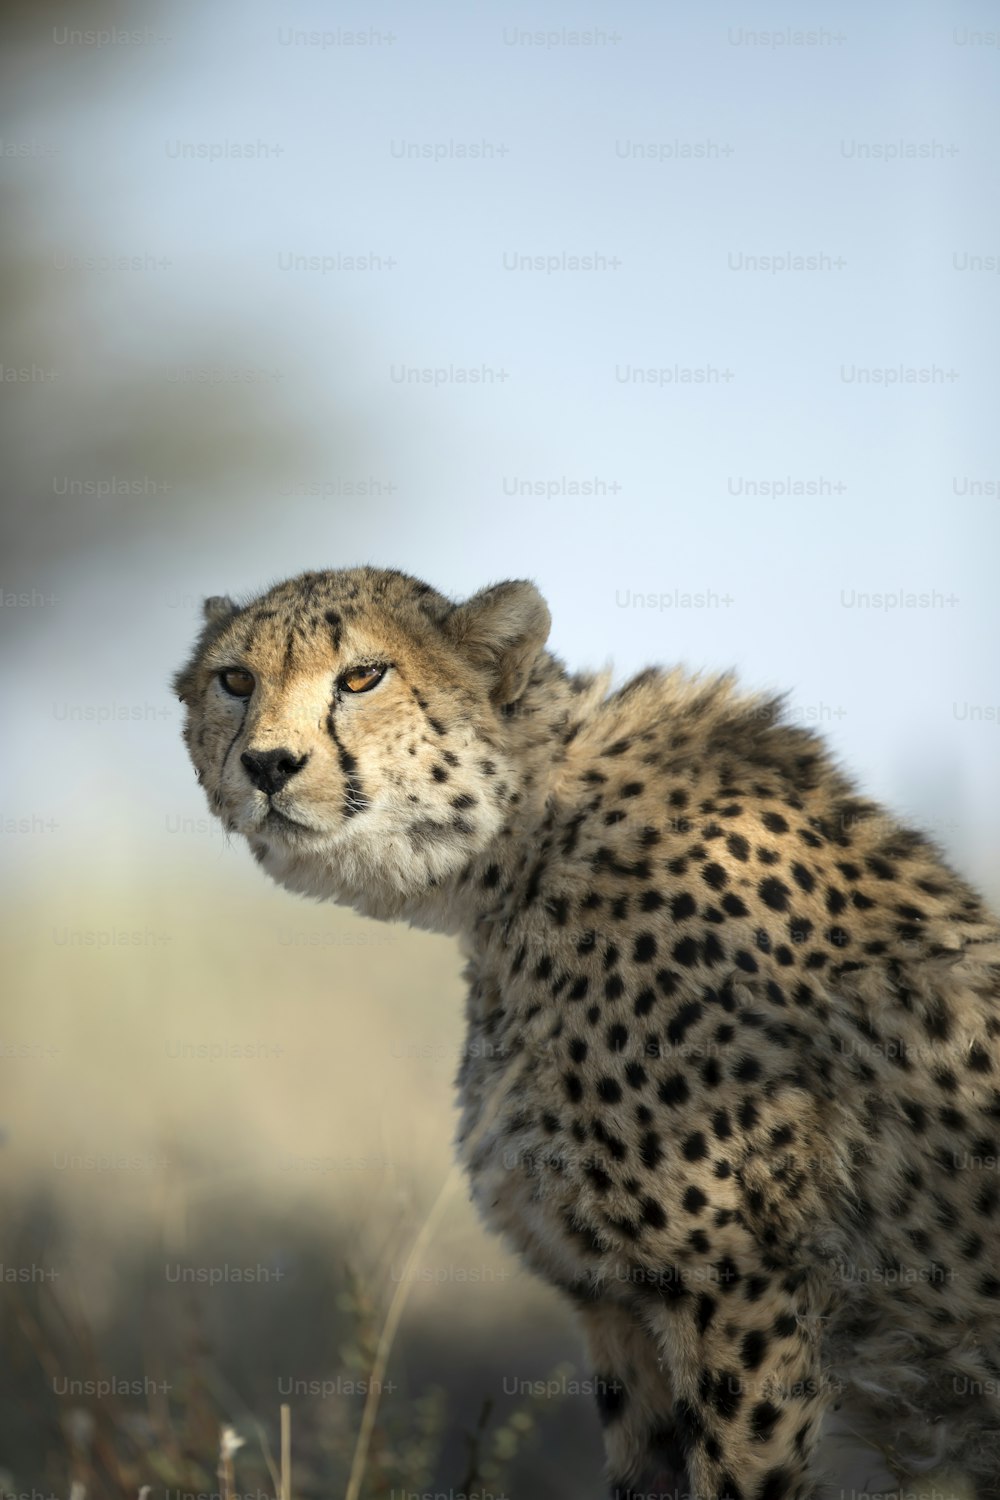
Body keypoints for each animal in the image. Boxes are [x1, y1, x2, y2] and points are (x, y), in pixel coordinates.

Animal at [173, 564, 1000, 1500]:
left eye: (362, 677)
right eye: (234, 679)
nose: (267, 764)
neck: (523, 847)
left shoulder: (736, 1284)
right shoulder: (615, 1299)